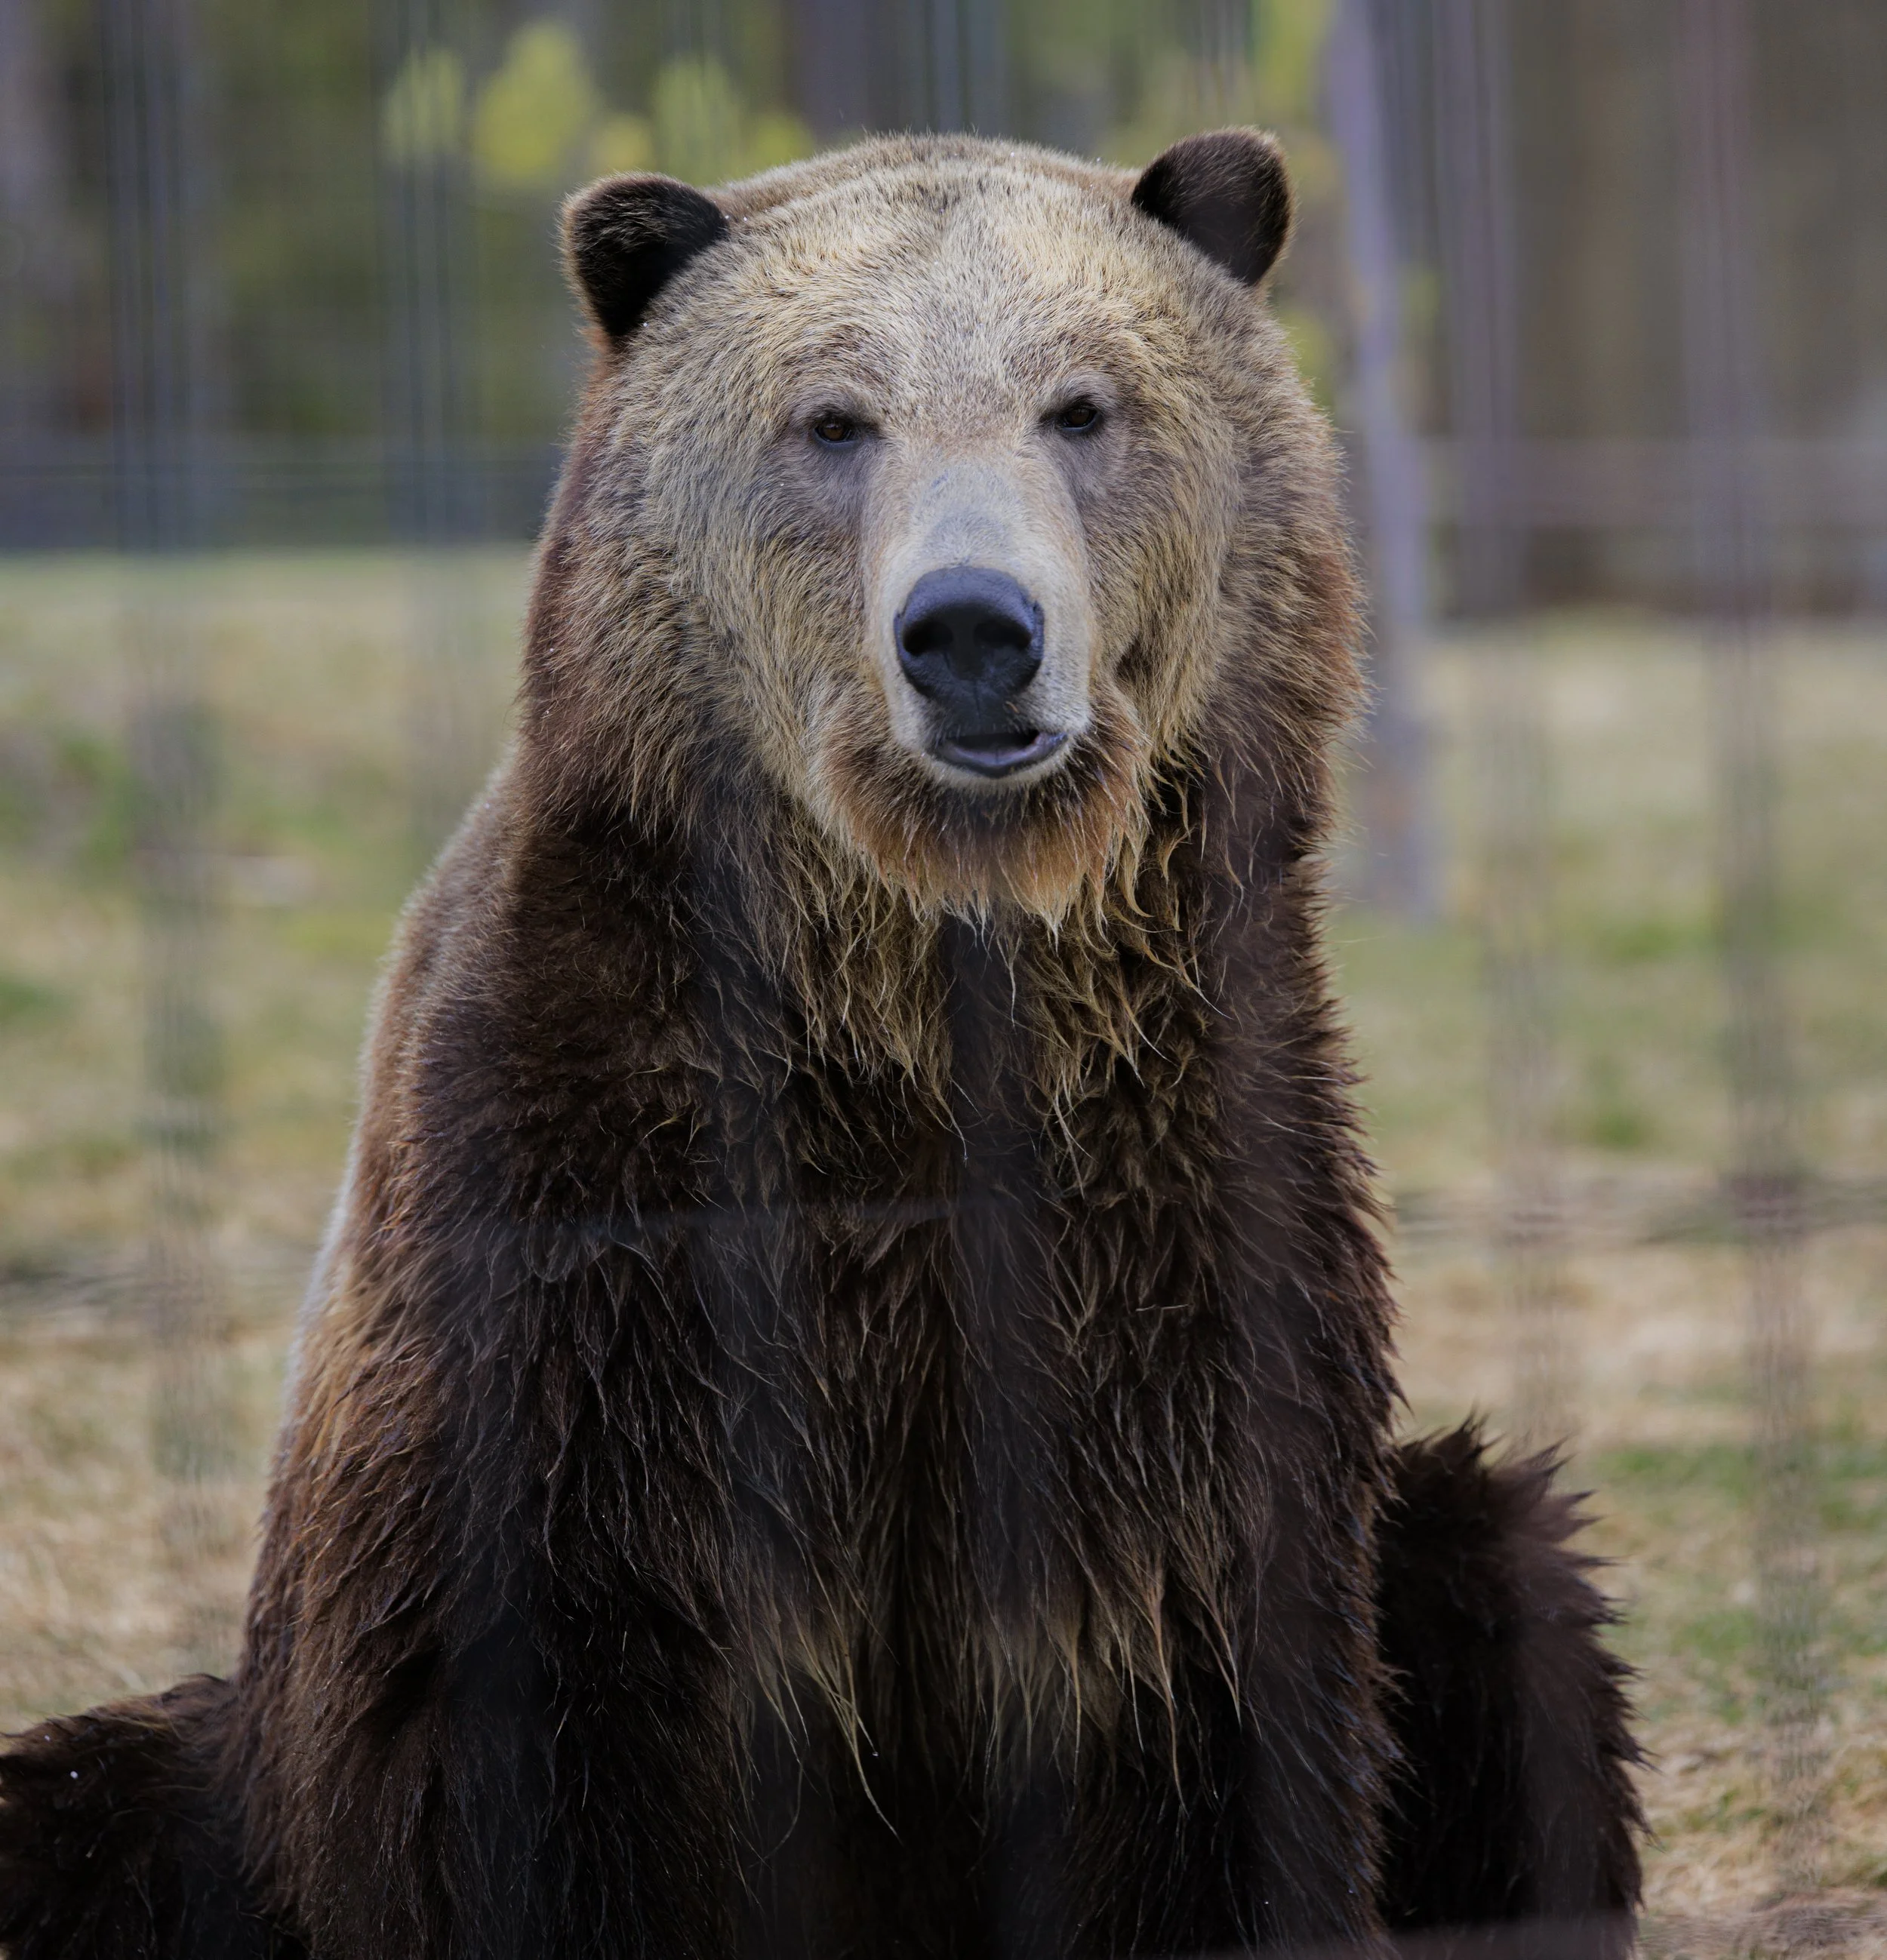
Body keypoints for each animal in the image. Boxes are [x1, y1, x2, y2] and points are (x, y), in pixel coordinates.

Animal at [0, 130, 1641, 1960]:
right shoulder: (589, 1250)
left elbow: (1212, 1717)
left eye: (1080, 403)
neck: (919, 995)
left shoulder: (1178, 1218)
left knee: (1506, 1576)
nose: (972, 629)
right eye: (836, 418)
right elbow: (552, 1750)